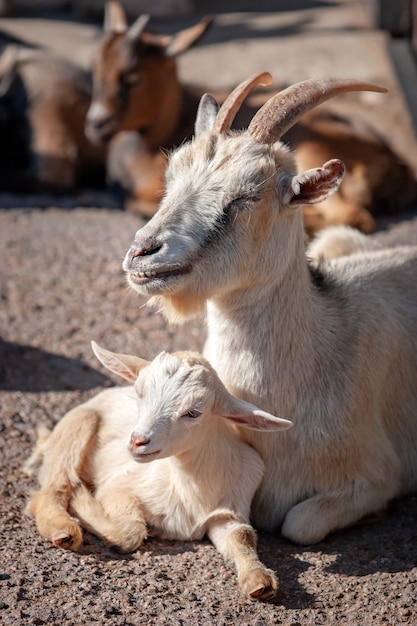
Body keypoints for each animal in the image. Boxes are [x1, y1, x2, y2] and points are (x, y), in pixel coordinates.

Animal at [24, 342, 290, 600]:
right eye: (139, 393)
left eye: (193, 412)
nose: (137, 441)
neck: (190, 488)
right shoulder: (118, 488)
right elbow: (130, 531)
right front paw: (82, 500)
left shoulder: (228, 511)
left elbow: (242, 535)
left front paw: (259, 580)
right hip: (79, 423)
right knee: (52, 488)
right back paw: (63, 527)